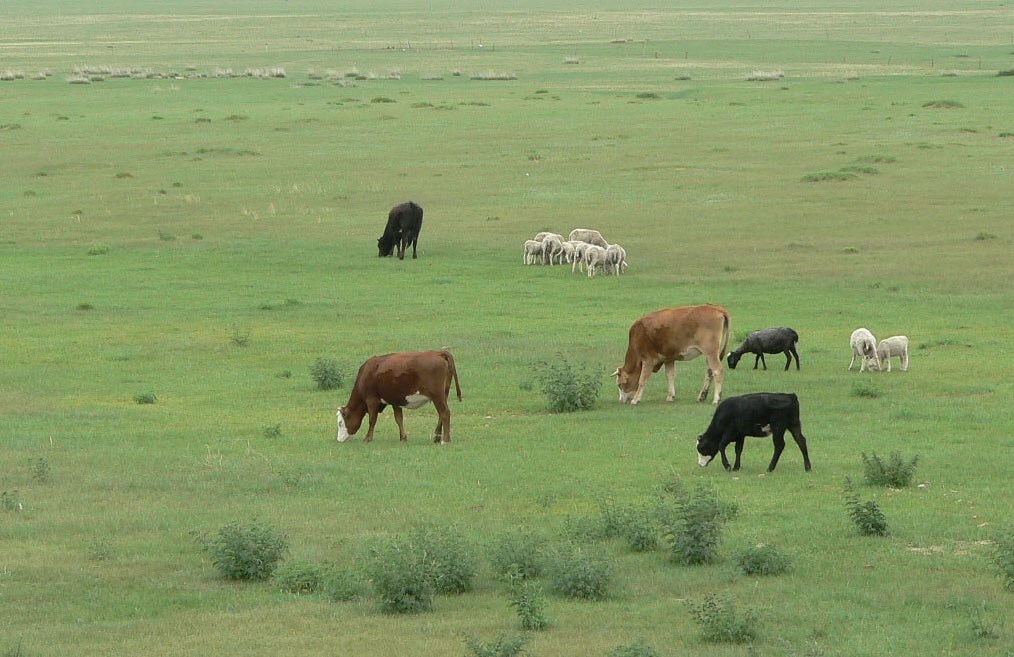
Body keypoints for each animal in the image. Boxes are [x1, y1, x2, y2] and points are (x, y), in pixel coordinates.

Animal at [336, 348, 464, 446]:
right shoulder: (395, 401)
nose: (339, 440)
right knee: (441, 414)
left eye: (340, 423)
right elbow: (399, 419)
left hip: (437, 395)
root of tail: (439, 352)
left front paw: (368, 438)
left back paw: (445, 440)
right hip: (444, 394)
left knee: (445, 413)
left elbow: (372, 419)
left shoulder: (371, 400)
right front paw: (403, 437)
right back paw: (437, 436)